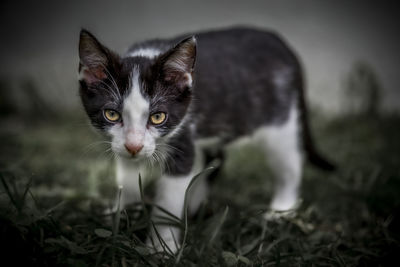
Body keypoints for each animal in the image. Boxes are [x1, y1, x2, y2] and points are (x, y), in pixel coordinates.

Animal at [76, 26, 332, 254]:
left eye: (158, 117)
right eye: (111, 114)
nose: (134, 146)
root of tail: (284, 46)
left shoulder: (183, 138)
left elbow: (169, 199)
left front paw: (161, 248)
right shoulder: (122, 145)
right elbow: (128, 178)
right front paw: (122, 215)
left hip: (280, 122)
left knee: (289, 164)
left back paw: (281, 211)